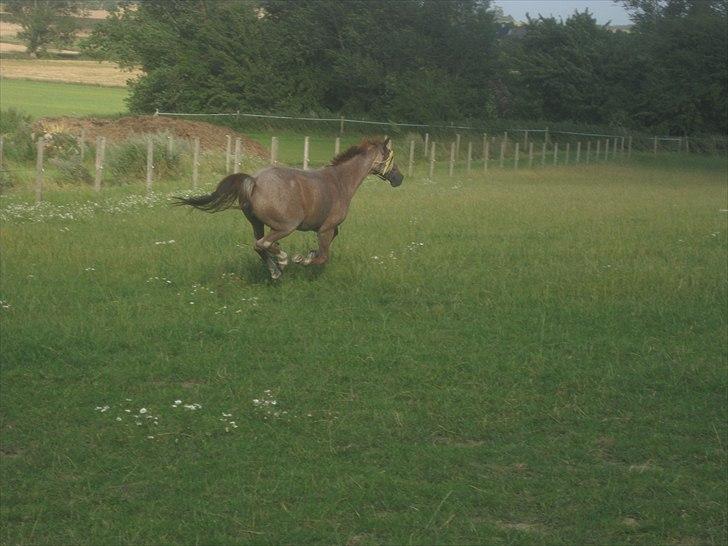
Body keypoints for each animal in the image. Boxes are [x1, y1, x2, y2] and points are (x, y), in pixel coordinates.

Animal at [176, 136, 404, 280]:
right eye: (392, 158)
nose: (399, 178)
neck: (340, 182)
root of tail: (254, 181)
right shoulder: (326, 228)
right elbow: (323, 256)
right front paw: (301, 259)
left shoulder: (328, 228)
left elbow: (324, 247)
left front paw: (308, 254)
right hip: (285, 226)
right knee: (264, 243)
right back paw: (282, 261)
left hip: (257, 224)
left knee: (258, 245)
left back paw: (275, 270)